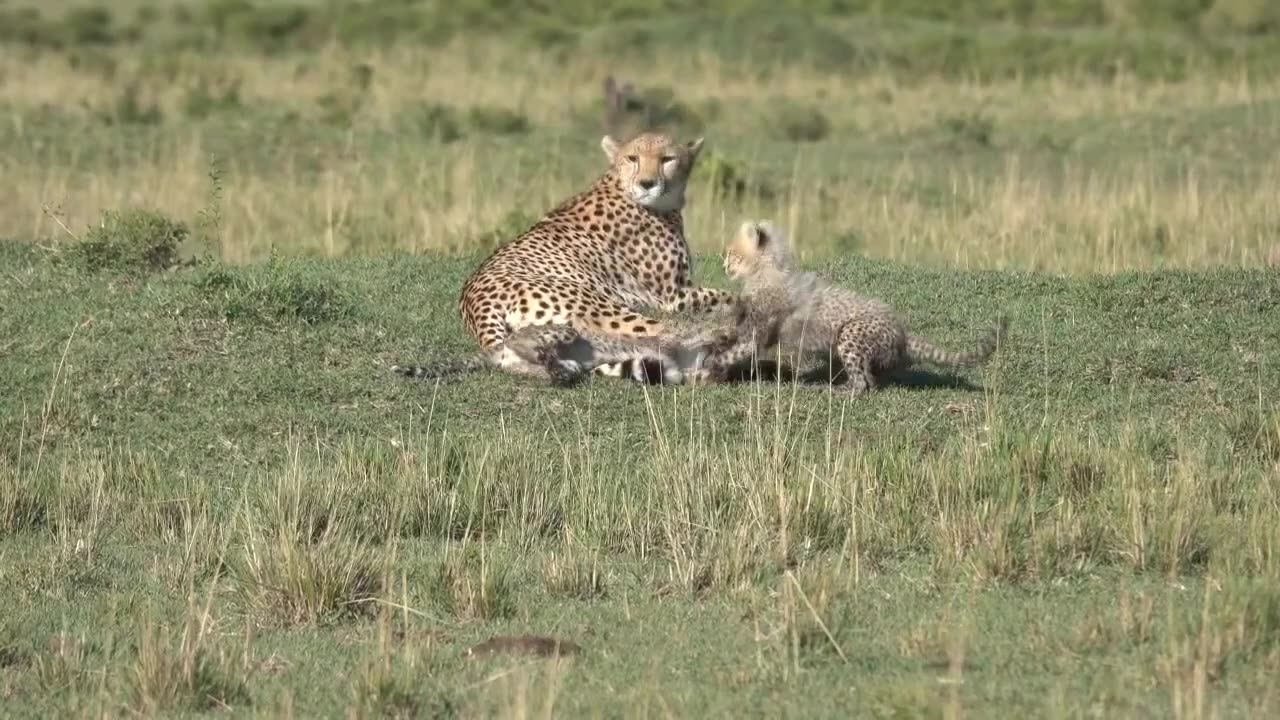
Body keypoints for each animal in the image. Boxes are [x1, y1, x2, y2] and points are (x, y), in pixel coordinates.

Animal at [455, 131, 737, 376]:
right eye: (632, 158)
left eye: (667, 159)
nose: (647, 184)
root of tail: (474, 298)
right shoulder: (673, 296)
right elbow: (727, 295)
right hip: (597, 306)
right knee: (663, 331)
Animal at [716, 220, 1003, 392]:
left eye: (732, 253)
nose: (724, 265)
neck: (765, 270)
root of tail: (901, 329)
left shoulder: (755, 334)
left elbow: (731, 350)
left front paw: (709, 366)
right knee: (871, 380)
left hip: (850, 334)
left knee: (861, 384)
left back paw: (836, 390)